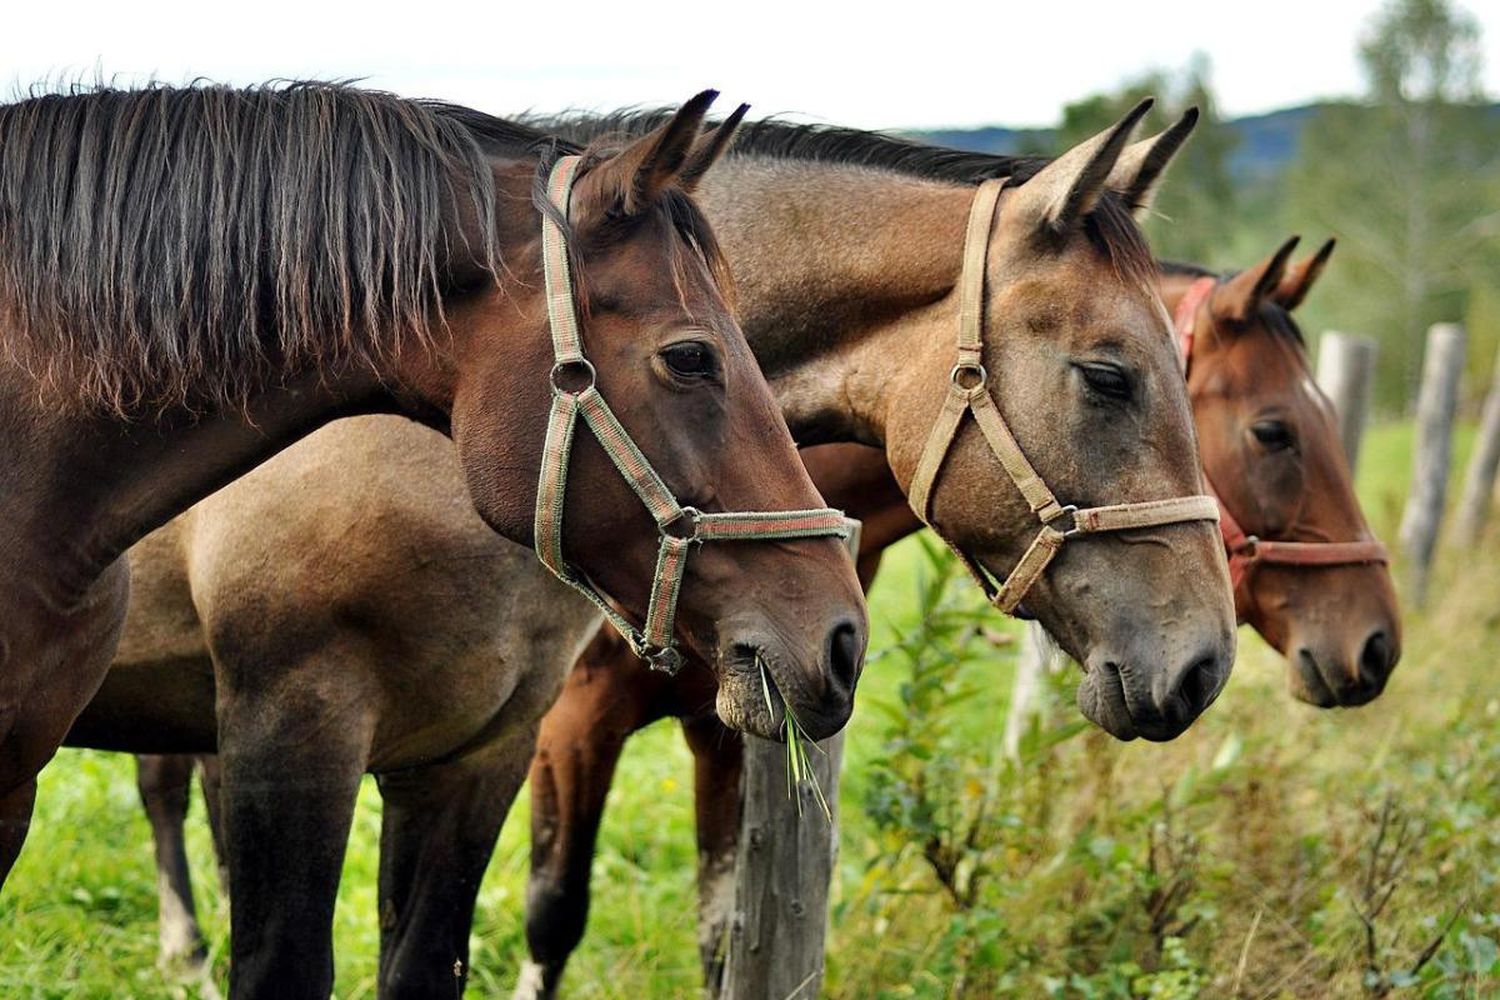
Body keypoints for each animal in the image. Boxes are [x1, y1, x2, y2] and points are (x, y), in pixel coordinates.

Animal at [522, 235, 1398, 995]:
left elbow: (720, 937)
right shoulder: (569, 725)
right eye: (1273, 431)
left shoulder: (727, 723)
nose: (1378, 644)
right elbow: (553, 917)